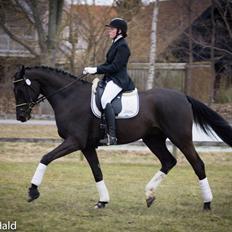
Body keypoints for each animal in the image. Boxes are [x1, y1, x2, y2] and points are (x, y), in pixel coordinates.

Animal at [13, 65, 232, 210]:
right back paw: (149, 195)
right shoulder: (87, 146)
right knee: (169, 161)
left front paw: (32, 191)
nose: (21, 117)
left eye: (20, 89)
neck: (69, 97)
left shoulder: (74, 141)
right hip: (153, 139)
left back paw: (207, 203)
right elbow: (97, 172)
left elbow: (46, 157)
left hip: (181, 138)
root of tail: (183, 96)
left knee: (198, 165)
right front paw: (102, 202)